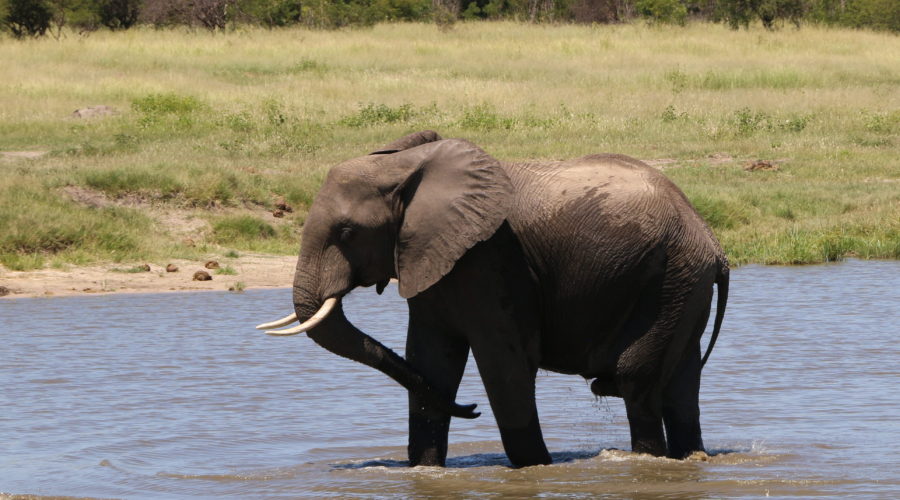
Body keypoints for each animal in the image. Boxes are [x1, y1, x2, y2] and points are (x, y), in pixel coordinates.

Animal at [256, 131, 729, 468]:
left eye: (347, 232)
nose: (471, 409)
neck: (405, 165)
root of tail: (713, 242)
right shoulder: (432, 258)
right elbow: (430, 360)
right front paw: (425, 470)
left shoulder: (490, 257)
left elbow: (504, 363)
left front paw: (536, 469)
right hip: (683, 286)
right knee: (681, 385)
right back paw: (689, 457)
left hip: (669, 279)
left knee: (636, 380)